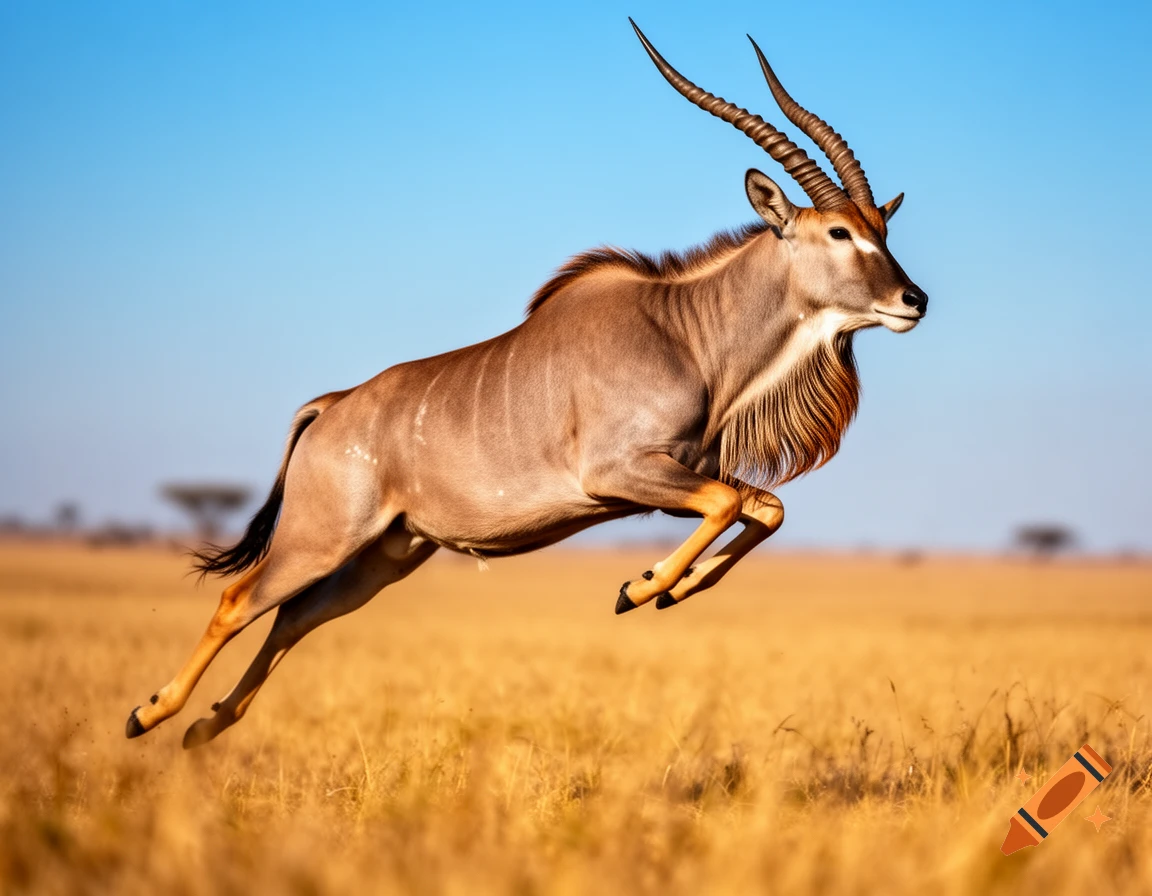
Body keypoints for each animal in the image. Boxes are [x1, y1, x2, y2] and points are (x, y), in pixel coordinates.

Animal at [127, 21, 928, 749]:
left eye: (880, 230)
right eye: (838, 233)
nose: (912, 300)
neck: (685, 332)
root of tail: (333, 409)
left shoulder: (676, 479)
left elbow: (765, 508)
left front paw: (667, 589)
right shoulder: (623, 476)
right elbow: (736, 503)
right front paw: (639, 587)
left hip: (384, 557)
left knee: (293, 616)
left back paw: (208, 725)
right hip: (320, 540)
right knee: (238, 601)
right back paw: (152, 712)